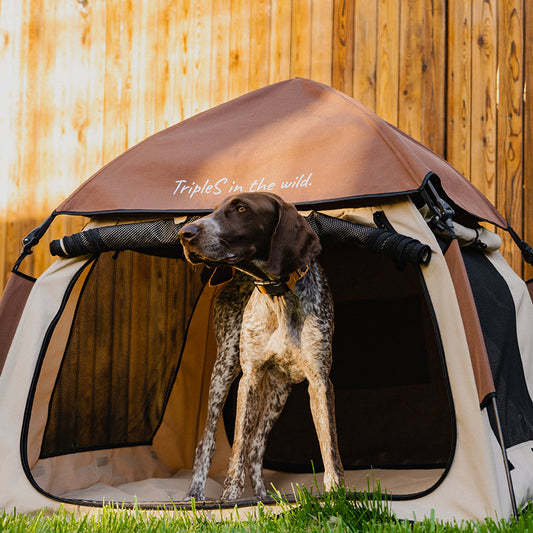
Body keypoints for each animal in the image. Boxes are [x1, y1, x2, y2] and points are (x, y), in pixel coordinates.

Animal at [177, 191, 342, 498]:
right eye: (214, 210)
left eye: (242, 209)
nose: (185, 233)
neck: (278, 293)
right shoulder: (250, 378)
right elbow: (237, 448)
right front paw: (229, 498)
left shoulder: (319, 381)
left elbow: (329, 444)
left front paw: (337, 493)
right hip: (224, 370)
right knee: (209, 442)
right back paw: (196, 494)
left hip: (279, 390)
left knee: (256, 445)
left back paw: (263, 498)